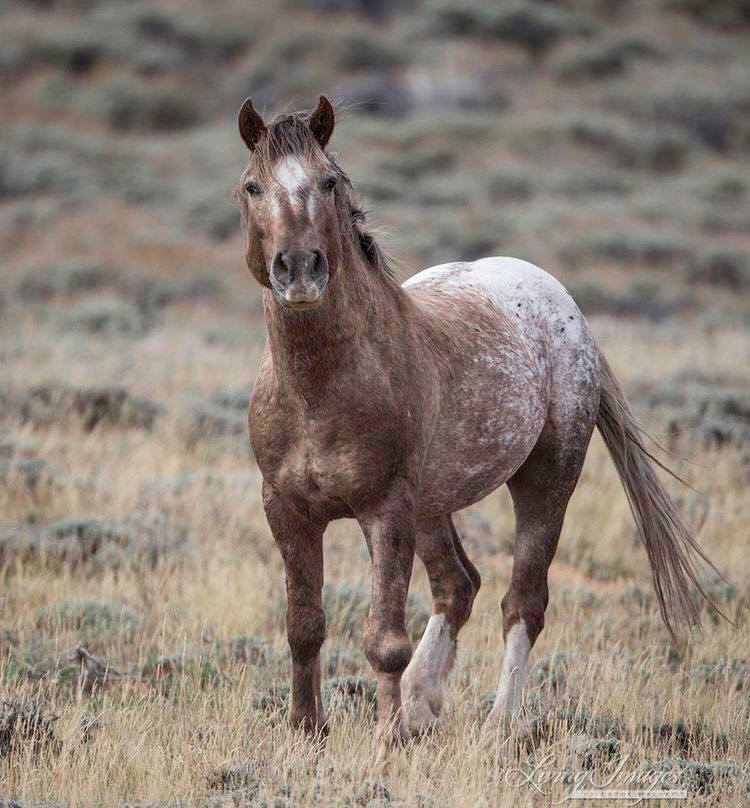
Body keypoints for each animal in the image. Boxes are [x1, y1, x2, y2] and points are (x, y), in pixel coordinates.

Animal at [236, 96, 724, 744]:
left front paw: (387, 739)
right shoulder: (288, 511)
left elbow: (383, 639)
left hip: (543, 484)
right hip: (432, 507)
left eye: (328, 181)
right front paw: (307, 730)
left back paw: (497, 724)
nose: (299, 269)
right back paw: (424, 703)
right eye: (252, 186)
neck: (320, 388)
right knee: (457, 586)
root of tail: (567, 308)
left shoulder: (385, 511)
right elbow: (304, 625)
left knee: (522, 602)